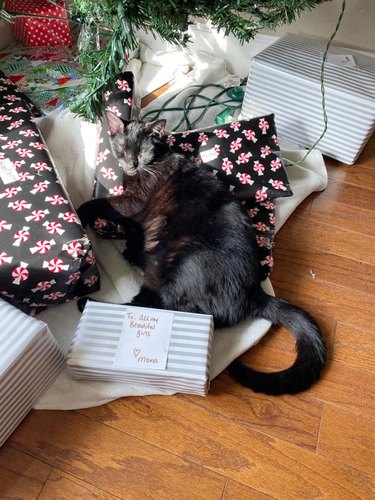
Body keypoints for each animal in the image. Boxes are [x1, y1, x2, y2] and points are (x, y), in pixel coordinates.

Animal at [78, 113, 326, 394]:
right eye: (124, 148)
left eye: (142, 151)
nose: (132, 163)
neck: (156, 160)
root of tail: (254, 293)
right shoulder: (136, 216)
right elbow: (132, 229)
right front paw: (130, 248)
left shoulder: (133, 202)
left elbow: (99, 203)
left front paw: (81, 214)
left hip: (182, 262)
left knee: (159, 307)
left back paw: (86, 303)